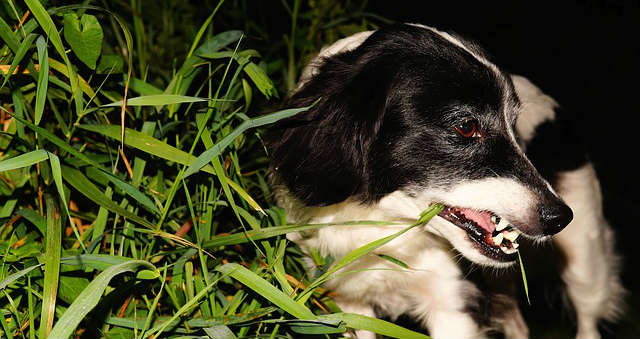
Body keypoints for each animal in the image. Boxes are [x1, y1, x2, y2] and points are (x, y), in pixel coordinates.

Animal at [266, 22, 624, 338]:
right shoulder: (348, 303)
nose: (560, 217)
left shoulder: (454, 304)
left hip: (585, 262)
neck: (387, 227)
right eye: (466, 127)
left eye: (514, 128)